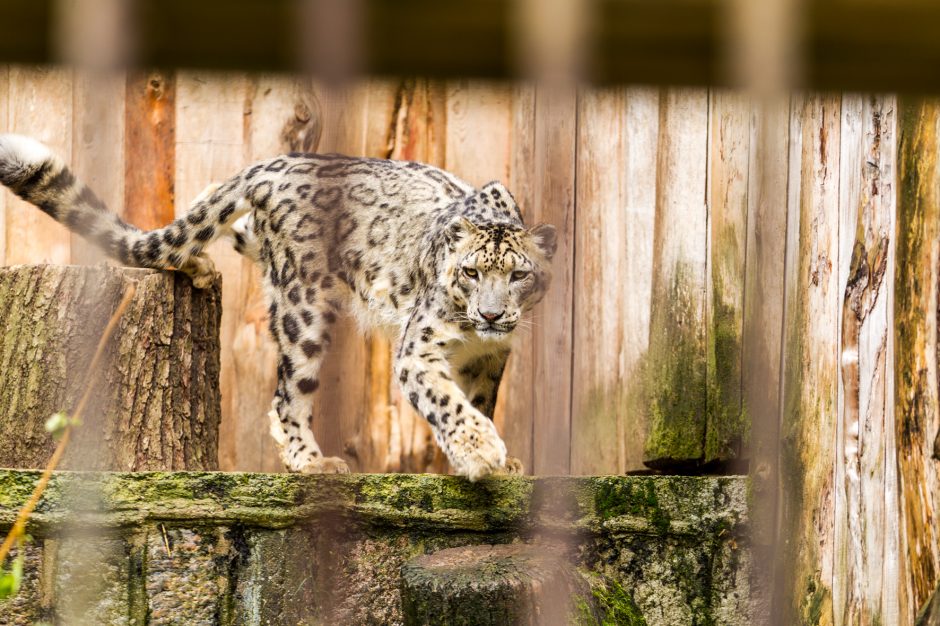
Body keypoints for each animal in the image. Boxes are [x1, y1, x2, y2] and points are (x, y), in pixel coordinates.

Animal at [0, 135, 556, 478]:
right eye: (471, 272)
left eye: (518, 275)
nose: (490, 314)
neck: (472, 341)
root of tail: (274, 163)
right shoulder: (419, 348)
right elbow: (448, 401)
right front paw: (482, 451)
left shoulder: (490, 359)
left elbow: (477, 401)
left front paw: (496, 460)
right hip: (303, 309)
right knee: (287, 394)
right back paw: (313, 462)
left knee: (221, 222)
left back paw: (199, 263)